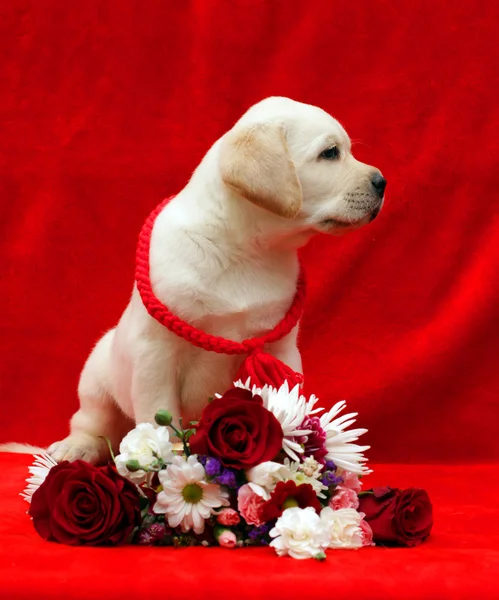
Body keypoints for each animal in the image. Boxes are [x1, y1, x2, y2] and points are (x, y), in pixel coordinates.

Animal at [28, 96, 386, 462]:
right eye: (330, 153)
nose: (382, 181)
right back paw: (76, 448)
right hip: (97, 376)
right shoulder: (155, 355)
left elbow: (288, 407)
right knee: (94, 423)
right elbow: (157, 418)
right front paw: (163, 466)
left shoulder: (281, 348)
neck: (248, 251)